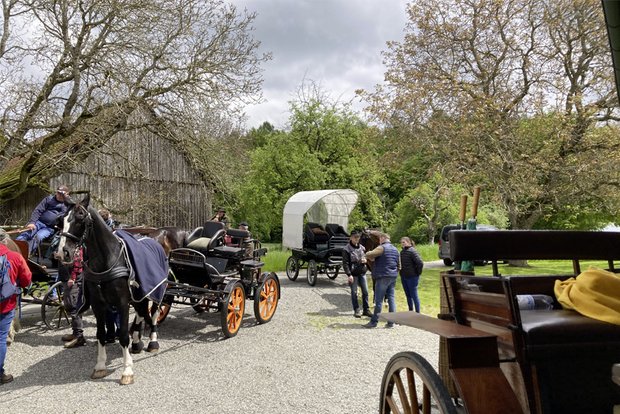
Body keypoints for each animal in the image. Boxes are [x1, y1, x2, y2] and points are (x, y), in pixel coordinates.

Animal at [57, 194, 163, 384]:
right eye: (61, 220)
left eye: (80, 217)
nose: (63, 252)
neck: (108, 258)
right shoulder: (98, 304)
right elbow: (101, 333)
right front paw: (100, 366)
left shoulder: (122, 302)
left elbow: (123, 334)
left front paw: (127, 370)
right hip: (139, 295)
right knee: (141, 313)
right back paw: (137, 342)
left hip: (154, 291)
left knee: (154, 314)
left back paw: (152, 341)